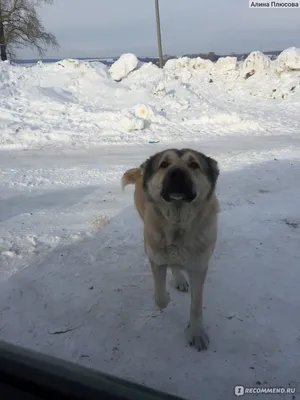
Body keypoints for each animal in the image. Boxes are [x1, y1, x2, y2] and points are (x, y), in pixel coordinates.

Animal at [120, 148, 219, 350]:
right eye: (164, 164)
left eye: (194, 164)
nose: (177, 173)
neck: (178, 226)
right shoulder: (156, 258)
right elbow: (160, 298)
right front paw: (165, 296)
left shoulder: (199, 267)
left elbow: (196, 304)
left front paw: (196, 332)